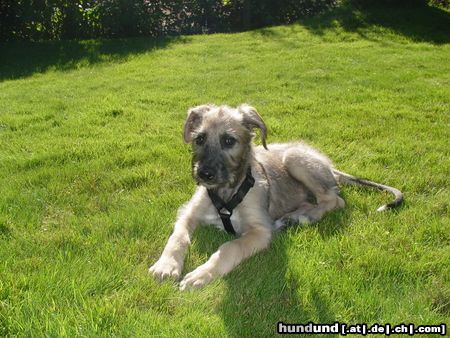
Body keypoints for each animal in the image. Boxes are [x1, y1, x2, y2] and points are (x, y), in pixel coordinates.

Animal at [149, 103, 404, 290]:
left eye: (229, 141)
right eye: (199, 139)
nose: (204, 174)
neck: (227, 191)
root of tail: (330, 167)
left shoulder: (260, 231)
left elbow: (229, 248)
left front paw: (201, 274)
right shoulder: (188, 214)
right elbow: (177, 237)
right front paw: (166, 265)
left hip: (294, 158)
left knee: (334, 199)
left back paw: (304, 217)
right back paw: (294, 216)